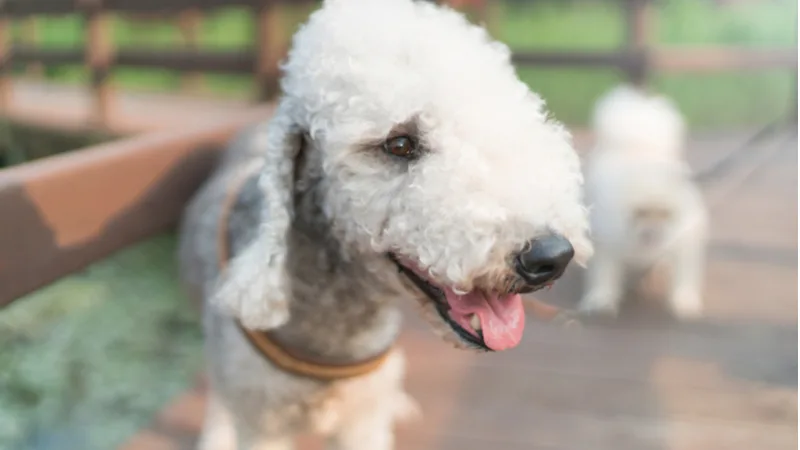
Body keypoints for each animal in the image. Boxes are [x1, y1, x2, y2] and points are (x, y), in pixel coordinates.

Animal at [580, 85, 708, 320]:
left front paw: (685, 302)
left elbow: (684, 275)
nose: (653, 233)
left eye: (666, 213)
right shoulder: (608, 240)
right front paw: (601, 301)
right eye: (639, 212)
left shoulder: (684, 240)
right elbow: (604, 274)